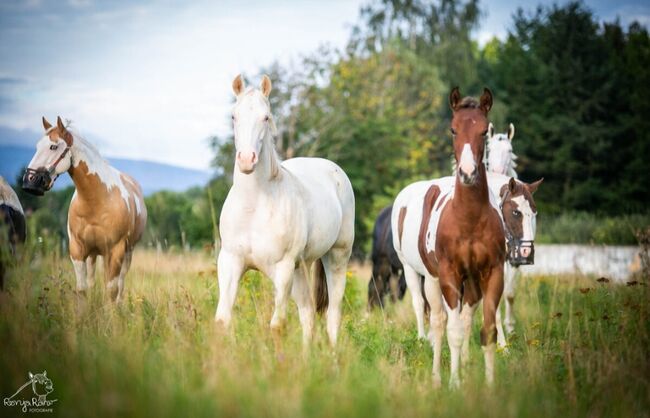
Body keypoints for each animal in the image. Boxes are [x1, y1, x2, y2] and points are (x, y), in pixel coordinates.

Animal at [23, 116, 147, 300]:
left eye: (53, 146)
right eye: (38, 146)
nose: (29, 181)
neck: (97, 200)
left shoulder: (116, 251)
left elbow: (112, 290)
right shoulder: (77, 250)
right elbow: (82, 289)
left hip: (126, 253)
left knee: (120, 286)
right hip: (94, 254)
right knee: (92, 282)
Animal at [213, 75, 354, 346]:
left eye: (266, 117)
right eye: (234, 116)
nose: (246, 159)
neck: (254, 206)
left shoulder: (283, 267)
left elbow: (277, 326)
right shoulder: (230, 261)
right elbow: (222, 321)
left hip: (336, 257)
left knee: (332, 315)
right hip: (301, 268)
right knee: (308, 315)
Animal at [392, 87, 504, 386]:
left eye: (484, 131)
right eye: (453, 129)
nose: (467, 173)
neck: (469, 219)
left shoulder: (493, 272)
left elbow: (487, 330)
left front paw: (490, 384)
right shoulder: (449, 276)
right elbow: (451, 330)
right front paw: (453, 383)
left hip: (472, 282)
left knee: (464, 318)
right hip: (424, 276)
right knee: (437, 320)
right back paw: (437, 376)